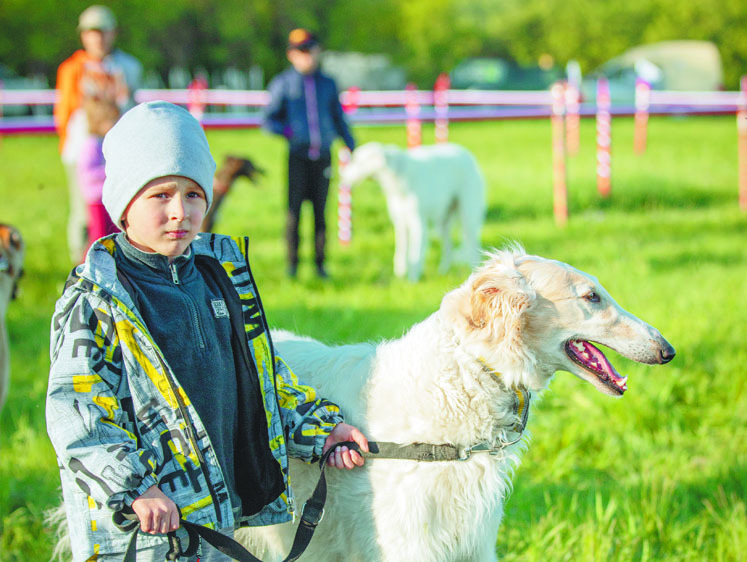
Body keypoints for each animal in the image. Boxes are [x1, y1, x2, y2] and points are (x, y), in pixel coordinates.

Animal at [344, 141, 488, 278]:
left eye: (358, 162)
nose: (342, 175)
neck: (399, 173)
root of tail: (468, 155)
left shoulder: (418, 221)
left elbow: (415, 253)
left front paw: (413, 278)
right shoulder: (400, 220)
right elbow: (401, 248)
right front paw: (401, 272)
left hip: (467, 216)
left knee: (473, 247)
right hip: (443, 220)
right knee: (448, 247)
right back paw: (443, 270)